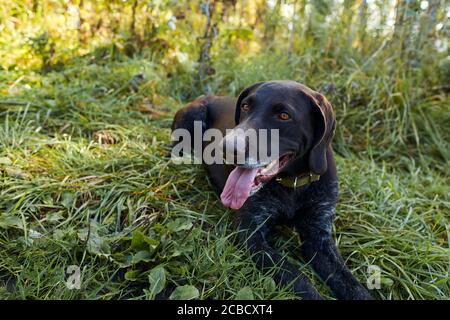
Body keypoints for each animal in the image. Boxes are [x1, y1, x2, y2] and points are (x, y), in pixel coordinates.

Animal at [171, 80, 370, 300]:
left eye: (284, 115)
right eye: (245, 106)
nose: (227, 149)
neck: (292, 184)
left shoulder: (319, 236)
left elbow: (352, 284)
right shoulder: (251, 234)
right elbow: (296, 276)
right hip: (192, 116)